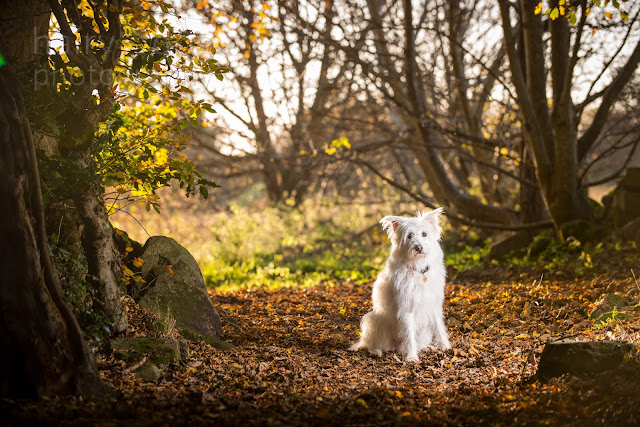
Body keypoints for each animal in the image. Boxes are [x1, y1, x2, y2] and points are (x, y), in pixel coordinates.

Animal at [350, 209, 450, 362]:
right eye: (409, 236)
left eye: (424, 234)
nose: (419, 247)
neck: (417, 270)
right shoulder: (406, 308)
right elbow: (409, 334)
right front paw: (412, 357)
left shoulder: (433, 305)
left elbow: (439, 327)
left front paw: (444, 345)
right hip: (375, 321)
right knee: (372, 345)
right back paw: (376, 351)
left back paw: (426, 347)